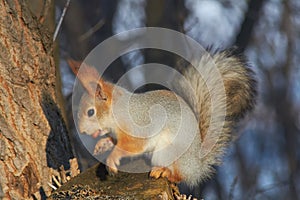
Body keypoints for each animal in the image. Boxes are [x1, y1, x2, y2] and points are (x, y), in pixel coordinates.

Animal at [67, 49, 255, 186]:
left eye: (90, 112)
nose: (82, 131)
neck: (117, 112)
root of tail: (197, 166)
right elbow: (115, 142)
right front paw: (102, 145)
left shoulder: (138, 125)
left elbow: (133, 145)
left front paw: (112, 158)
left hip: (168, 152)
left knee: (179, 177)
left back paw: (164, 172)